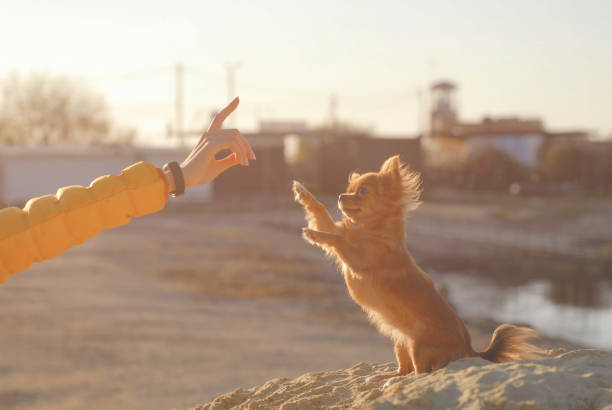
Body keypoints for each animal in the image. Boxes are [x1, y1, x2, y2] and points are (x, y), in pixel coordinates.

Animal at [294, 155, 536, 376]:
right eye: (348, 190)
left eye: (362, 192)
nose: (340, 196)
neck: (369, 229)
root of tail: (468, 346)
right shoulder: (341, 233)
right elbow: (323, 214)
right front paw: (303, 193)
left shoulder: (357, 258)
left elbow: (337, 239)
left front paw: (313, 234)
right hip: (401, 342)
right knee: (405, 370)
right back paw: (389, 377)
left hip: (418, 347)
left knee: (420, 372)